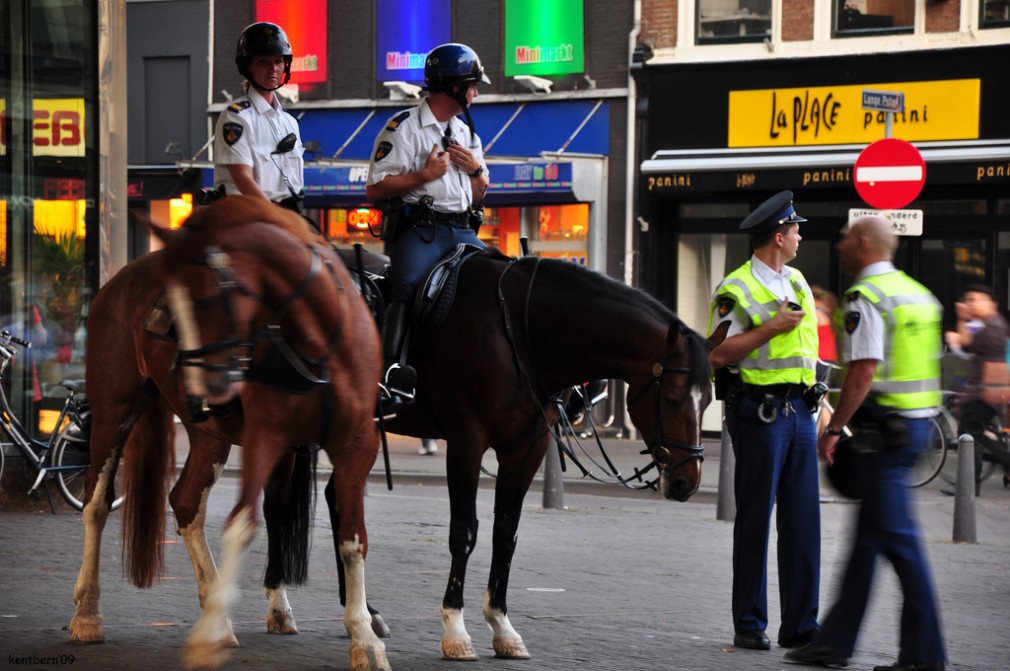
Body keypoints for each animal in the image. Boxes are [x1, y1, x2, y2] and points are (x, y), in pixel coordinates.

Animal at [68, 198, 389, 671]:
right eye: (170, 306)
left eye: (207, 298)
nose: (200, 391)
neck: (317, 338)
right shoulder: (265, 437)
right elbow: (242, 523)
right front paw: (207, 640)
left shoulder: (356, 446)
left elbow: (352, 540)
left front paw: (364, 637)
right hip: (115, 410)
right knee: (95, 502)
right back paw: (88, 613)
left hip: (210, 436)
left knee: (185, 501)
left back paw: (215, 612)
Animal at [375, 248, 715, 658]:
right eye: (673, 398)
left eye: (709, 399)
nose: (687, 481)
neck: (517, 331)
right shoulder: (465, 440)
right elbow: (464, 531)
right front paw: (455, 630)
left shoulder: (528, 447)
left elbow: (506, 533)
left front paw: (502, 625)